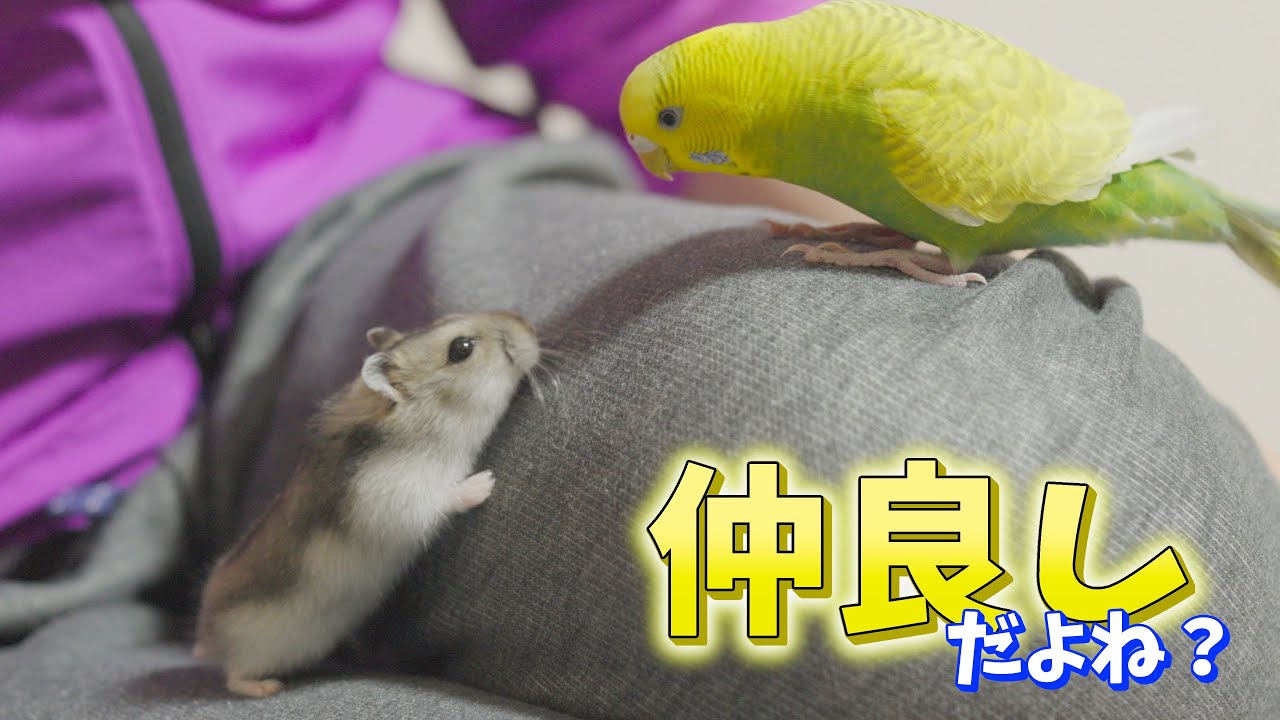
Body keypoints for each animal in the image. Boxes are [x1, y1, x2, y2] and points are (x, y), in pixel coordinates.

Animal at [194, 311, 539, 698]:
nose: (530, 327)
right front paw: (486, 482)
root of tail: (208, 638)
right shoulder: (389, 497)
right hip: (254, 649)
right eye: (461, 348)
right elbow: (440, 498)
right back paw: (267, 687)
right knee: (234, 675)